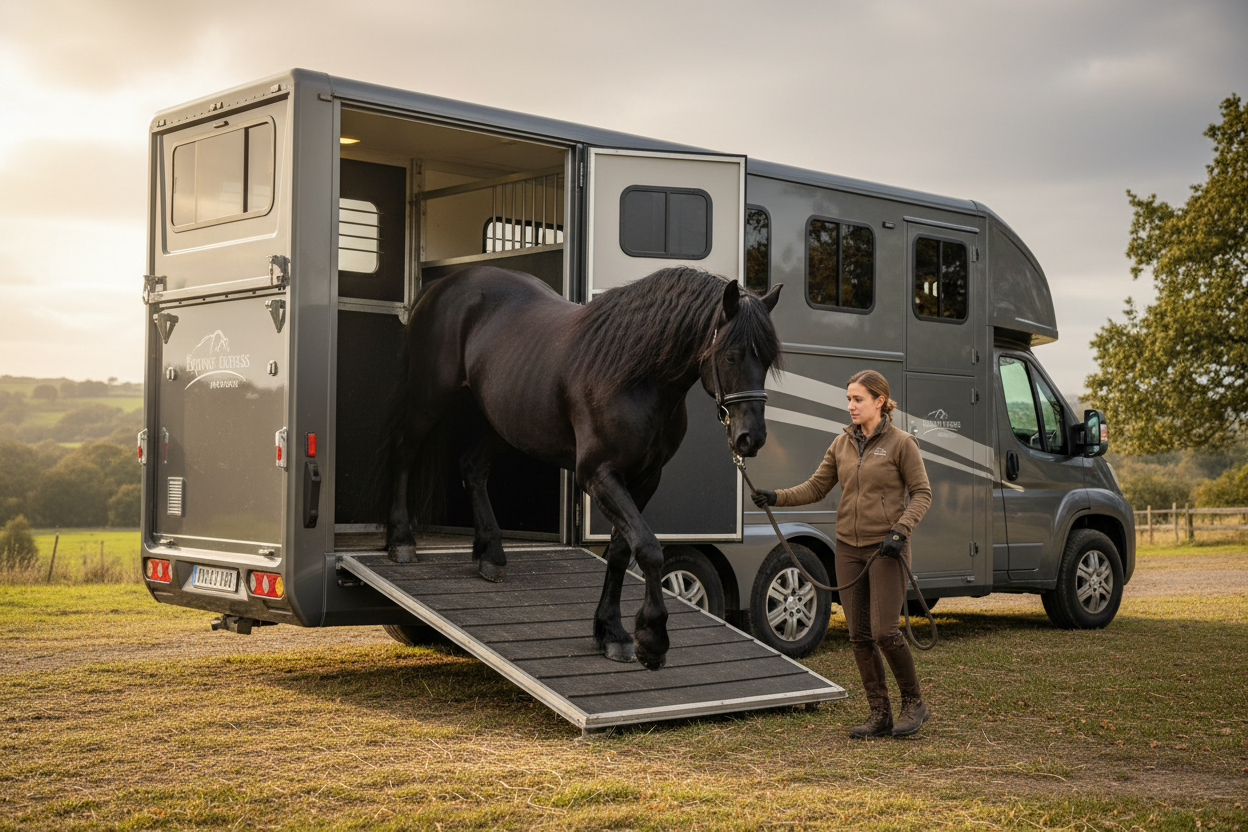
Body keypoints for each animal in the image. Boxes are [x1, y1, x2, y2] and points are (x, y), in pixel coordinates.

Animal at [385, 264, 782, 670]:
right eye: (731, 356)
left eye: (767, 360)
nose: (751, 438)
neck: (635, 378)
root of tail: (444, 284)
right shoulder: (597, 475)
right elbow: (649, 548)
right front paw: (651, 639)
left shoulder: (644, 480)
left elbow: (622, 551)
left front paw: (611, 632)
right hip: (429, 397)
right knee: (403, 453)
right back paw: (401, 541)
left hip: (504, 422)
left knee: (473, 468)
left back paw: (490, 554)